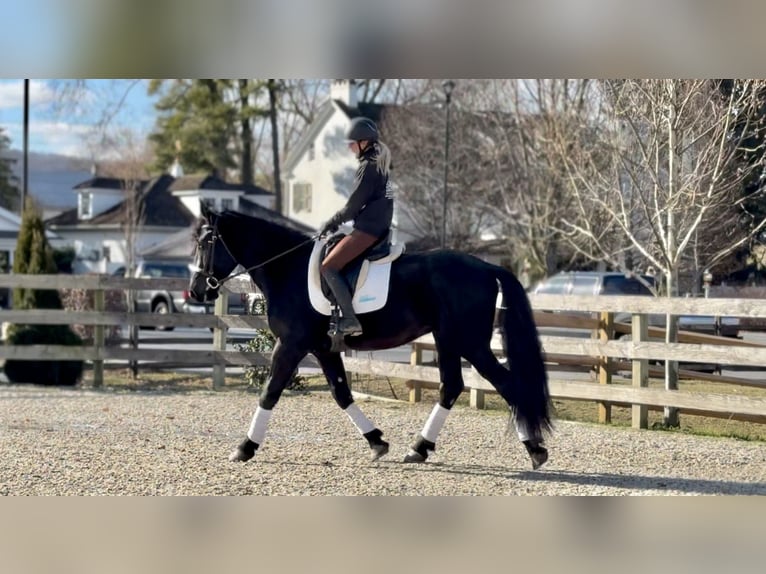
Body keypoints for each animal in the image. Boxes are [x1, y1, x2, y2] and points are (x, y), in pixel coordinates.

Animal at [188, 203, 553, 470]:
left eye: (205, 243)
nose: (195, 291)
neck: (287, 269)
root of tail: (488, 267)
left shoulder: (291, 345)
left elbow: (270, 392)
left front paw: (245, 448)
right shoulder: (323, 348)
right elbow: (341, 393)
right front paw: (377, 442)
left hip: (470, 343)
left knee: (505, 384)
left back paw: (535, 450)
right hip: (447, 339)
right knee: (452, 386)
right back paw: (420, 448)